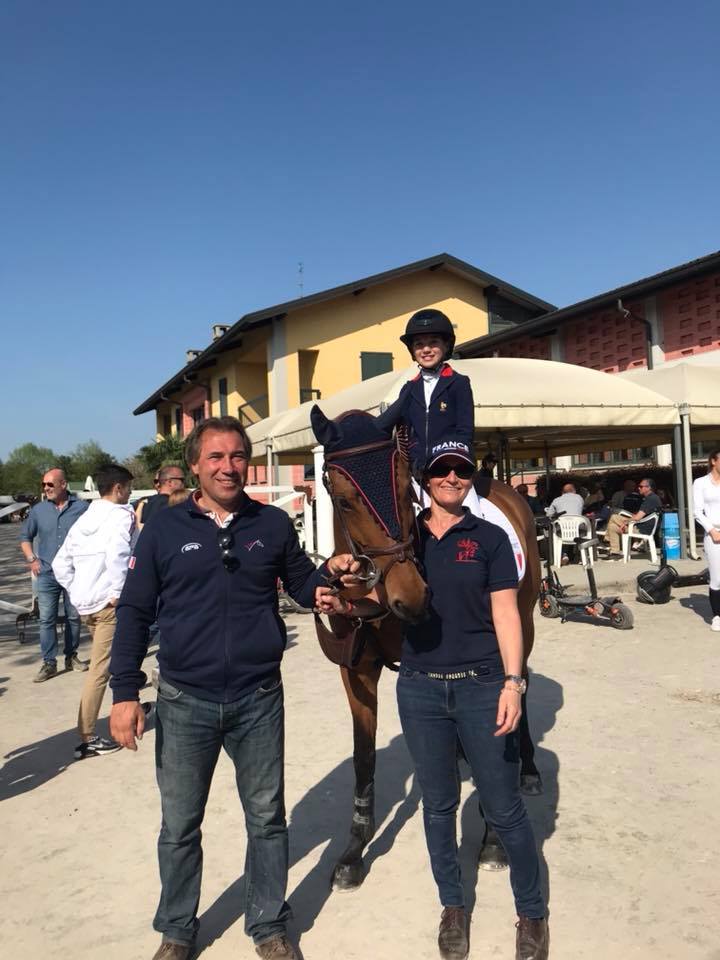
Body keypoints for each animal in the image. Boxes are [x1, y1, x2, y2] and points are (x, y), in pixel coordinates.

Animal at [310, 406, 540, 892]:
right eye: (344, 501)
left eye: (404, 489)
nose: (411, 596)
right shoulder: (356, 669)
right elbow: (363, 756)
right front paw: (353, 853)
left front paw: (493, 840)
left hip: (523, 623)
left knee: (521, 687)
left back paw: (528, 769)